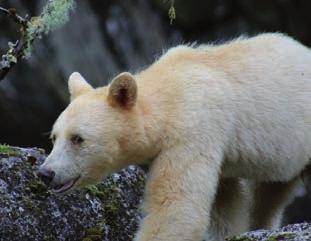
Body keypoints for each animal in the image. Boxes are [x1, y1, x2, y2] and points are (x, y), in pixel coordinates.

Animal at [37, 33, 310, 241]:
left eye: (78, 138)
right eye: (54, 137)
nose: (46, 173)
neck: (170, 92)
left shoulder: (192, 130)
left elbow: (175, 205)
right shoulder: (217, 153)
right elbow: (224, 202)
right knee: (270, 194)